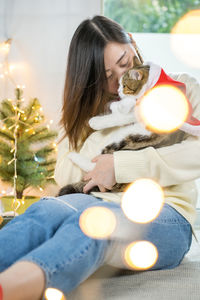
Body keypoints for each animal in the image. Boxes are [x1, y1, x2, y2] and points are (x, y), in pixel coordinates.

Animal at [57, 57, 191, 196]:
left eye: (124, 85)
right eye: (119, 85)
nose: (118, 91)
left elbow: (119, 115)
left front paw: (97, 120)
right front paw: (116, 105)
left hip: (122, 142)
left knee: (94, 165)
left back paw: (74, 156)